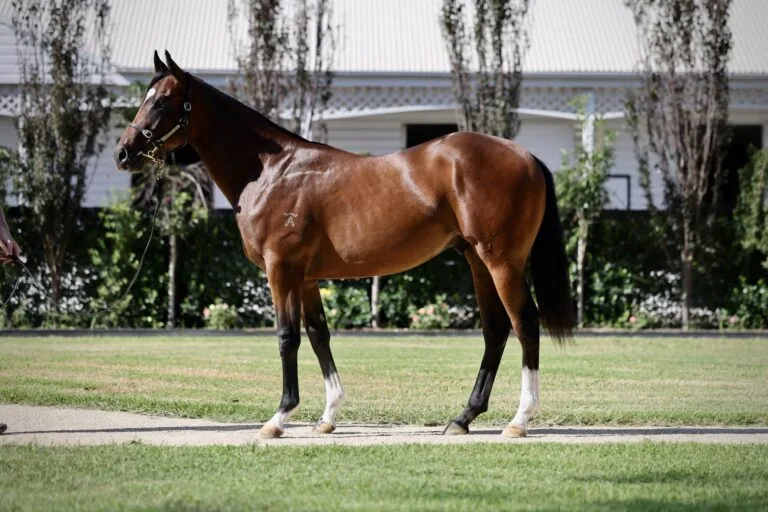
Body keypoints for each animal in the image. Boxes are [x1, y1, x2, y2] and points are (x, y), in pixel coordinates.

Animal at [115, 51, 575, 439]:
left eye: (162, 101)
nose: (123, 153)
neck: (272, 171)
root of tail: (526, 156)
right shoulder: (306, 278)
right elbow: (320, 335)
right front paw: (327, 417)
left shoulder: (281, 270)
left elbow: (287, 337)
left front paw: (278, 418)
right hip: (477, 261)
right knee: (495, 330)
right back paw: (463, 418)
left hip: (502, 262)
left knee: (524, 323)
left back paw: (518, 420)